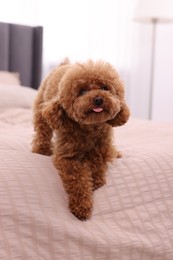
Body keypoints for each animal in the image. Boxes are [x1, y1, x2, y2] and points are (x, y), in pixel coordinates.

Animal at [31, 60, 130, 220]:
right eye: (82, 91)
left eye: (105, 88)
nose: (98, 99)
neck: (90, 128)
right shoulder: (67, 158)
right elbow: (78, 179)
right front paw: (82, 206)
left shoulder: (102, 146)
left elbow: (98, 163)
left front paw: (96, 180)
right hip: (42, 112)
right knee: (42, 133)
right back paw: (42, 150)